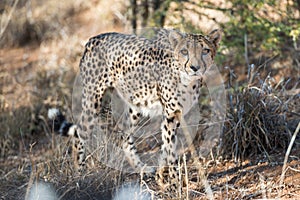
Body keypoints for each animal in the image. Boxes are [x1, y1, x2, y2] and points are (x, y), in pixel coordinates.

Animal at [47, 27, 220, 189]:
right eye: (184, 51)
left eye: (205, 50)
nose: (195, 67)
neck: (188, 80)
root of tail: (94, 38)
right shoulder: (170, 114)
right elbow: (170, 149)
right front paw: (174, 182)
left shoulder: (176, 115)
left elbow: (167, 147)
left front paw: (161, 176)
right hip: (92, 100)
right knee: (79, 135)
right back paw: (79, 175)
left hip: (135, 105)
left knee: (123, 135)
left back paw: (141, 168)